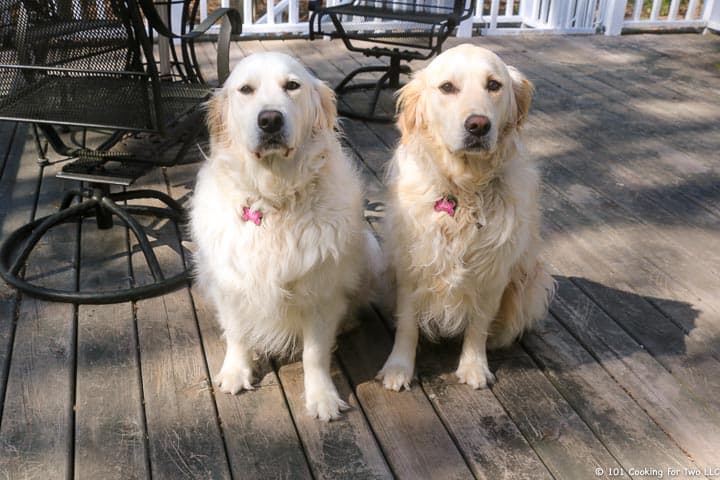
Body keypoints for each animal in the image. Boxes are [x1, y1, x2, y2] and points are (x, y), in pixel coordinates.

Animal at [188, 53, 374, 420]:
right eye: (246, 89)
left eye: (292, 85)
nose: (270, 120)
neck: (274, 200)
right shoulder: (230, 283)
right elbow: (236, 333)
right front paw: (236, 371)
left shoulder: (321, 291)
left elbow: (314, 353)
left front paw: (322, 397)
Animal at [376, 44, 556, 390]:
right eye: (447, 87)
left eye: (494, 85)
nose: (478, 125)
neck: (463, 190)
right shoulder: (411, 265)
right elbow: (407, 325)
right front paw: (398, 368)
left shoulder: (493, 272)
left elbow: (478, 325)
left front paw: (474, 366)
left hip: (528, 280)